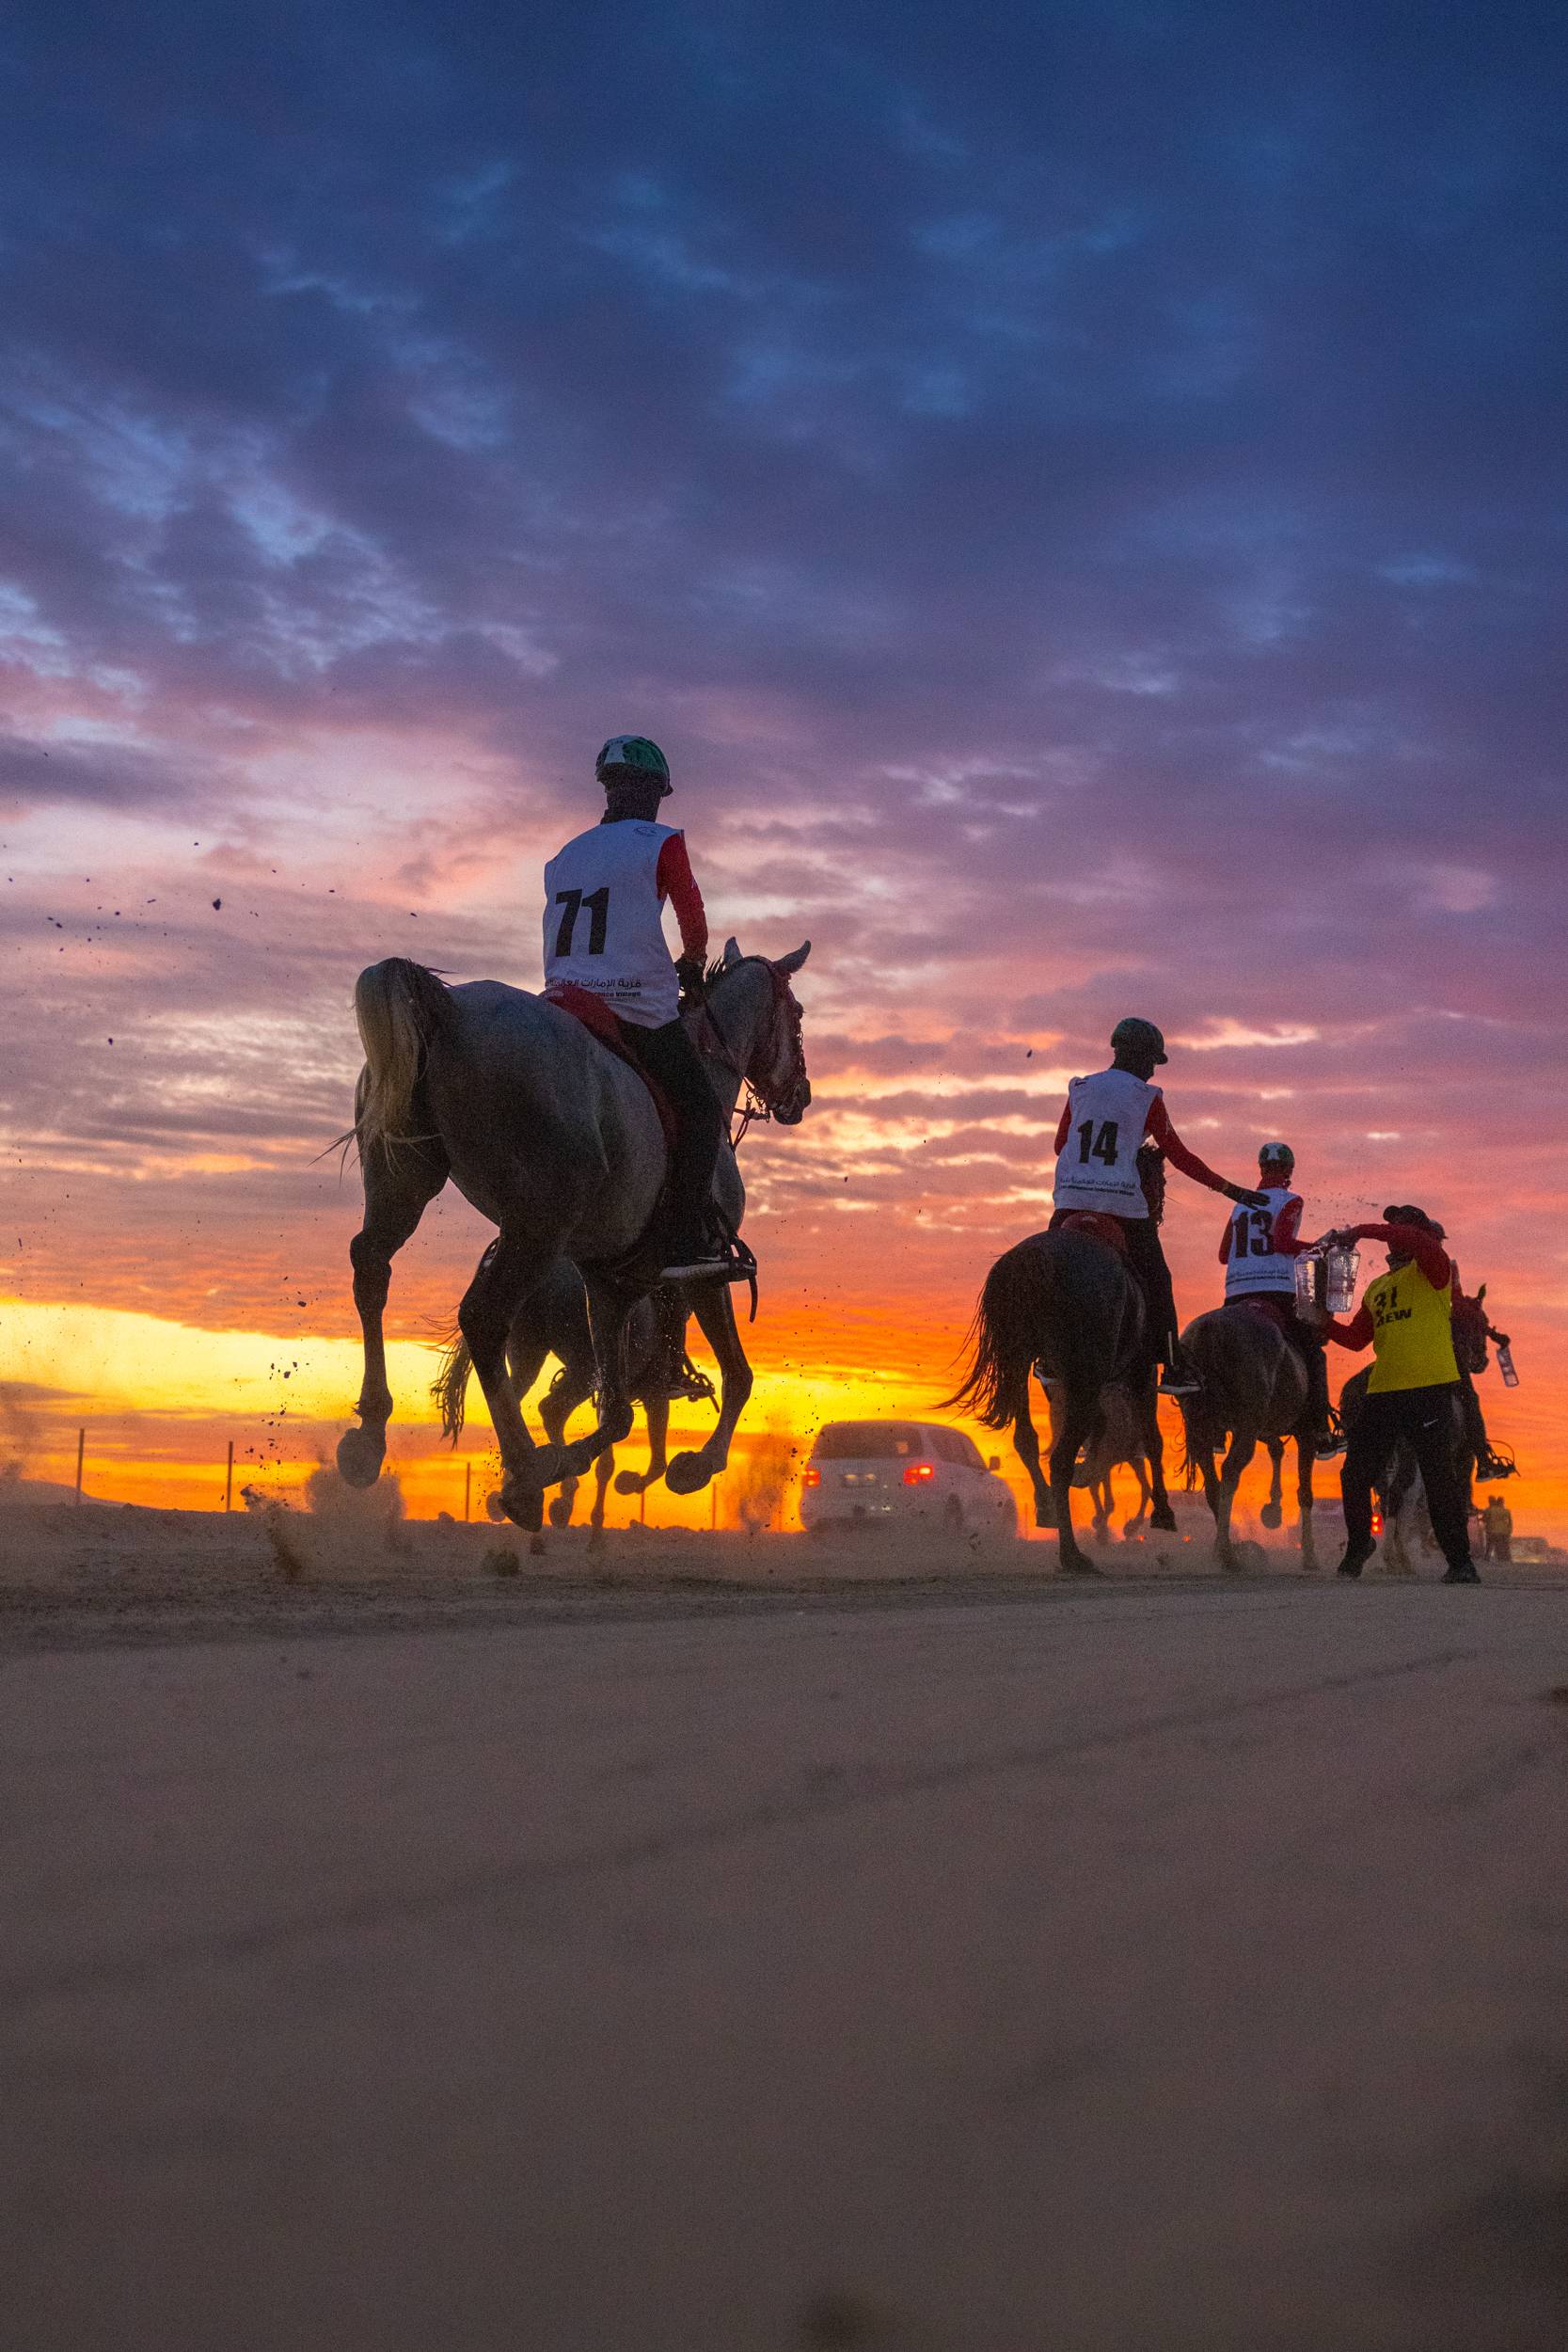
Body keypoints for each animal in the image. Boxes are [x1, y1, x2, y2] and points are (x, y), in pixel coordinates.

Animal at [341, 946, 808, 1534]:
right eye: (797, 1014)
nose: (802, 1096)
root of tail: (449, 1009)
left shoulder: (611, 1282)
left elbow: (617, 1415)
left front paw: (573, 1464)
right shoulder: (708, 1268)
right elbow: (738, 1376)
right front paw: (695, 1466)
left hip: (404, 1184)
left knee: (372, 1268)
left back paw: (370, 1435)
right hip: (538, 1224)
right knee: (483, 1318)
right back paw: (523, 1470)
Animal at [944, 1223, 1175, 1571]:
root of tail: (1035, 1259)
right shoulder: (1142, 1371)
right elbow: (1152, 1439)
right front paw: (1162, 1512)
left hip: (1019, 1359)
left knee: (1028, 1439)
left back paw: (1048, 1508)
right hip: (1085, 1373)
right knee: (1062, 1458)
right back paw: (1072, 1553)